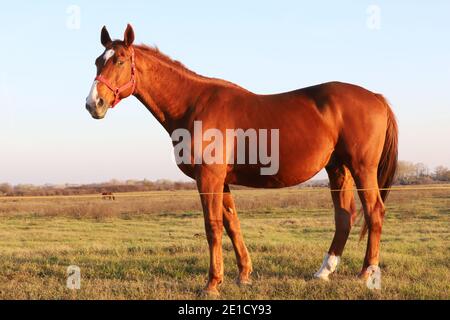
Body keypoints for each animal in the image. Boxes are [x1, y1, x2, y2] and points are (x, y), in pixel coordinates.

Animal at [84, 25, 398, 296]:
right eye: (98, 62)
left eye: (120, 61)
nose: (93, 104)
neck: (194, 105)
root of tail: (376, 97)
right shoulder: (221, 180)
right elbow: (232, 223)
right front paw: (243, 275)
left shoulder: (209, 177)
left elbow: (212, 227)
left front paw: (212, 283)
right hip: (338, 168)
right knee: (345, 217)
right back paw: (324, 272)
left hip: (362, 168)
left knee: (374, 212)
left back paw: (366, 272)